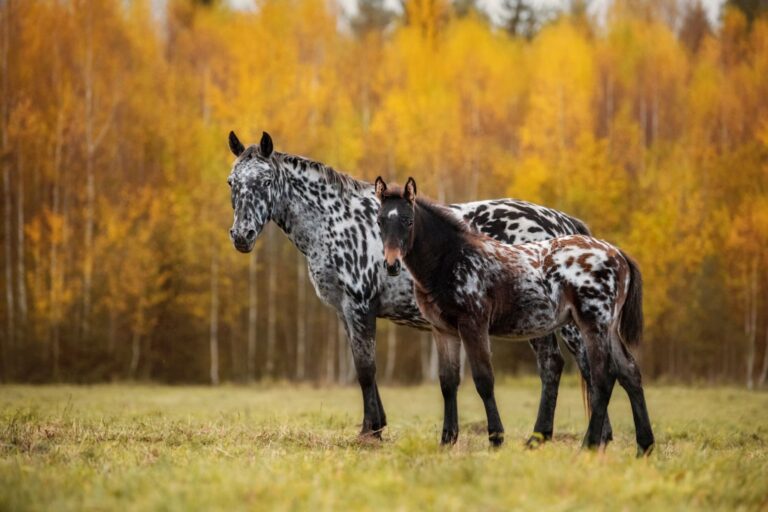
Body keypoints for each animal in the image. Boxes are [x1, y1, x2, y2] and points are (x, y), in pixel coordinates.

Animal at [225, 130, 616, 446]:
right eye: (232, 182)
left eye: (265, 181)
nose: (241, 236)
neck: (336, 220)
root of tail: (560, 221)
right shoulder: (345, 311)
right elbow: (362, 366)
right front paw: (375, 426)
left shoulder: (360, 305)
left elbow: (366, 369)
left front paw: (370, 433)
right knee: (553, 366)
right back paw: (542, 437)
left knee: (585, 365)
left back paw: (594, 437)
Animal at [372, 177, 656, 456]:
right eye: (380, 221)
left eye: (408, 220)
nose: (391, 265)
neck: (451, 259)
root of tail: (618, 254)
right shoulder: (442, 331)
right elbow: (448, 383)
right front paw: (447, 440)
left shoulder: (473, 324)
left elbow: (484, 380)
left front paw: (495, 439)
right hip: (608, 328)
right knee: (629, 372)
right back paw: (644, 446)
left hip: (592, 324)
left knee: (602, 377)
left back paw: (589, 445)